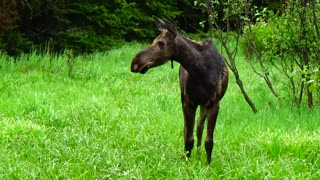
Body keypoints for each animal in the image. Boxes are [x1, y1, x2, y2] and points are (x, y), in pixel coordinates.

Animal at [131, 16, 229, 165]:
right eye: (154, 41)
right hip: (185, 98)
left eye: (161, 43)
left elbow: (209, 141)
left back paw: (199, 155)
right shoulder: (189, 102)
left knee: (199, 127)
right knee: (188, 129)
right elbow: (188, 138)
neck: (200, 71)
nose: (135, 63)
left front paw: (207, 164)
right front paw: (187, 163)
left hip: (203, 104)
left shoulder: (214, 103)